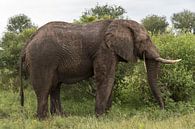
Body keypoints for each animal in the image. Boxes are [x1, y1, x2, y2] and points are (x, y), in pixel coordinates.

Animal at [19, 19, 181, 119]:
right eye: (145, 40)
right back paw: (43, 119)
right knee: (44, 87)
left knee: (55, 87)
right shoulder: (104, 50)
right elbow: (106, 78)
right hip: (41, 59)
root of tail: (28, 42)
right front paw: (100, 117)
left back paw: (61, 116)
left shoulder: (111, 51)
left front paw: (107, 115)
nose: (162, 110)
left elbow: (111, 78)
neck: (119, 22)